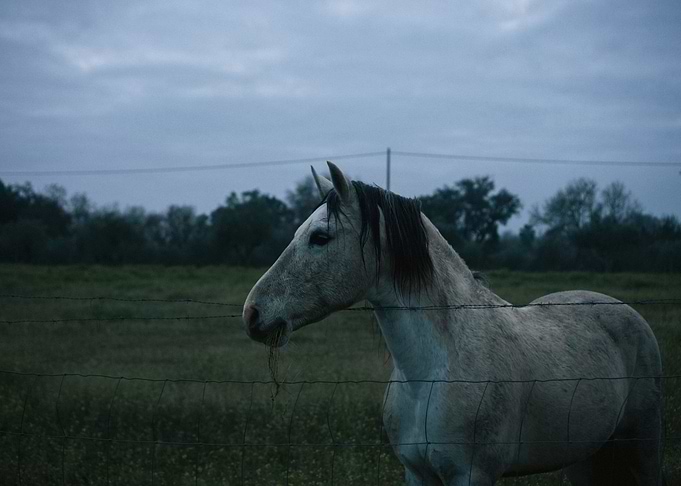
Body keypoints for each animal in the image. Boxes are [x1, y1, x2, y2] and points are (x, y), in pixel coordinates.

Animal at [242, 162, 665, 485]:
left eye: (320, 237)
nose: (252, 313)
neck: (431, 372)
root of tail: (627, 313)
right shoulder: (417, 473)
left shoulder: (471, 475)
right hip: (583, 458)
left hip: (643, 447)